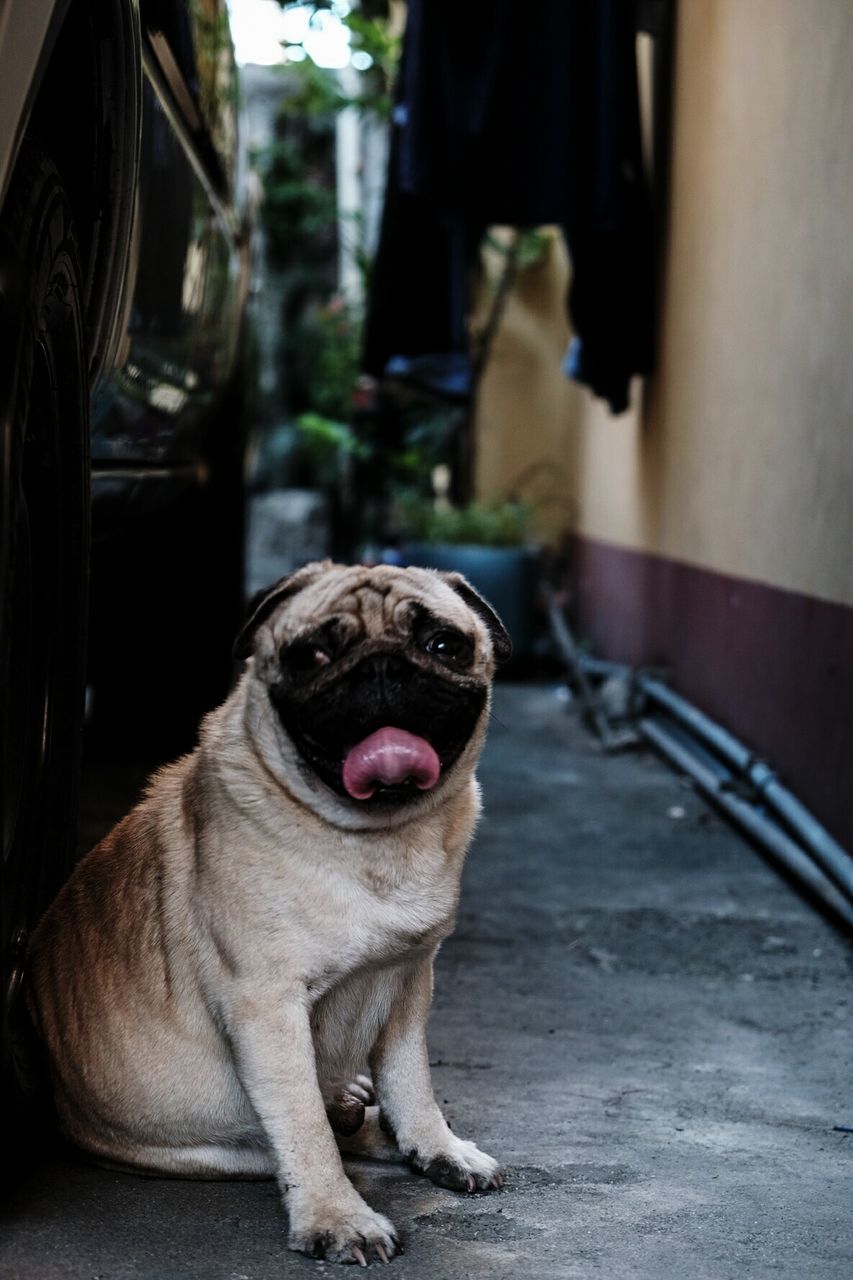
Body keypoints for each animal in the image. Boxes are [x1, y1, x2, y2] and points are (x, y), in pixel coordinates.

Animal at [26, 565, 507, 1264]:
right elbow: (305, 1126)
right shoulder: (267, 1005)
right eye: (314, 655)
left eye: (443, 645)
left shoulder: (411, 980)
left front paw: (438, 1149)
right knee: (324, 1134)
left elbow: (410, 1080)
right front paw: (337, 1218)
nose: (384, 666)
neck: (375, 838)